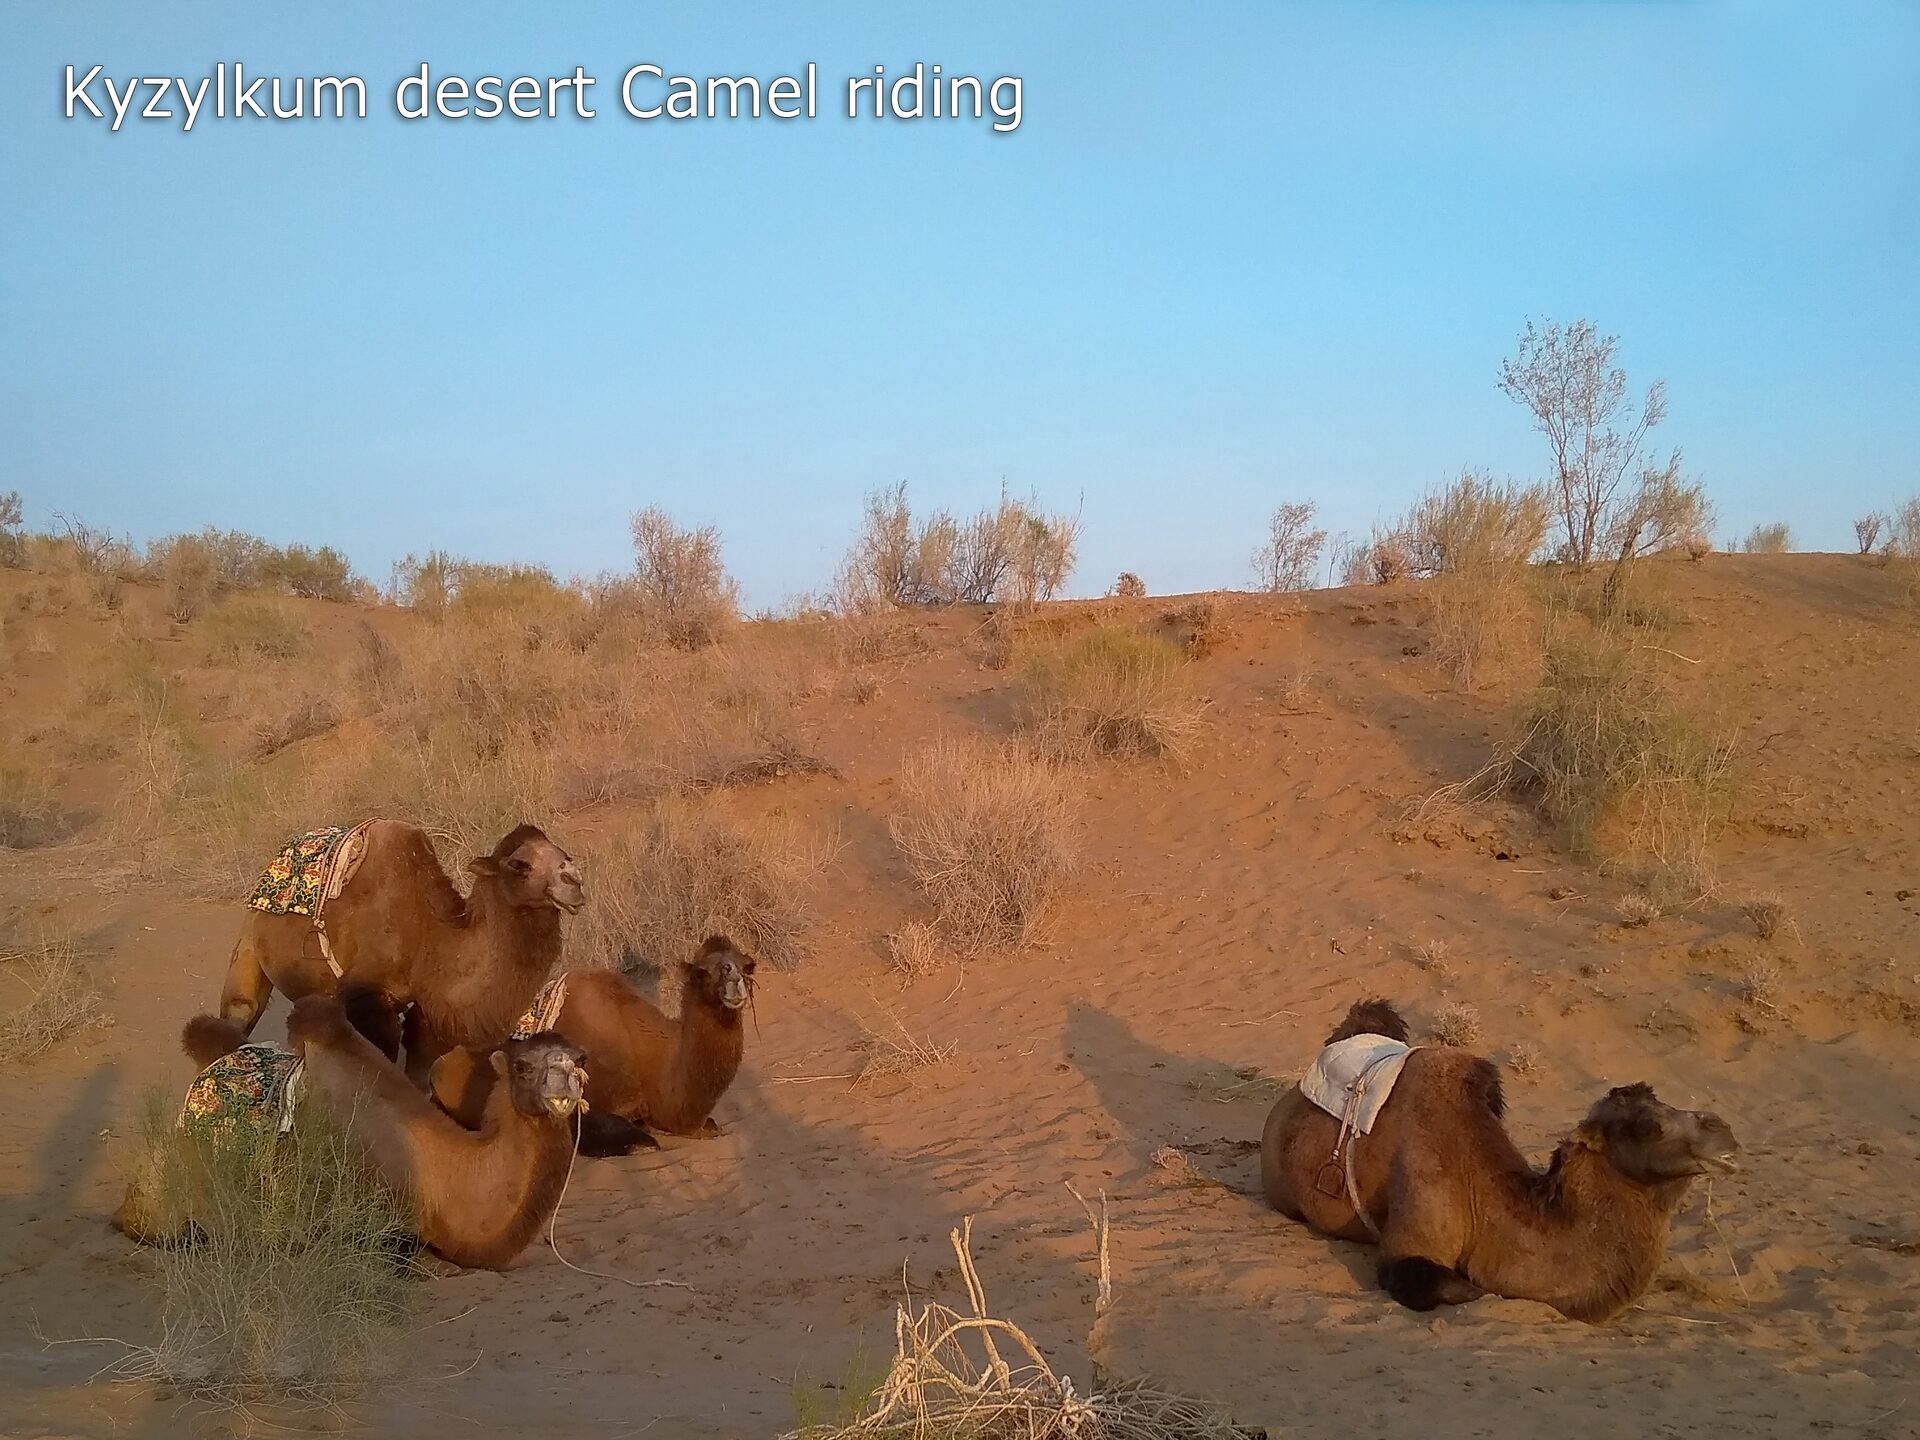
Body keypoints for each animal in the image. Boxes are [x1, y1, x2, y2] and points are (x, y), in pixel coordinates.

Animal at [200, 821, 583, 1082]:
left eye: (564, 855)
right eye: (519, 865)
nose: (575, 882)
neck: (429, 937)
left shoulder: (426, 1009)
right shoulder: (366, 998)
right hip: (250, 946)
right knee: (239, 1011)